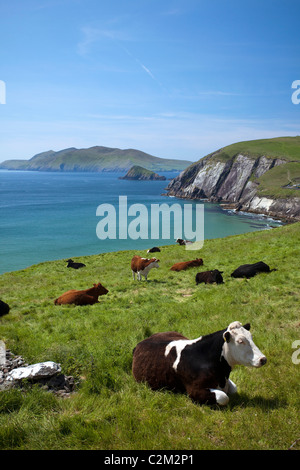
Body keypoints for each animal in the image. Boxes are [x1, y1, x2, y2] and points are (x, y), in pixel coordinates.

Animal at [132, 322, 266, 406]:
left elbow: (234, 389)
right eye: (240, 341)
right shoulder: (194, 391)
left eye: (251, 337)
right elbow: (224, 397)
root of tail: (142, 342)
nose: (263, 359)